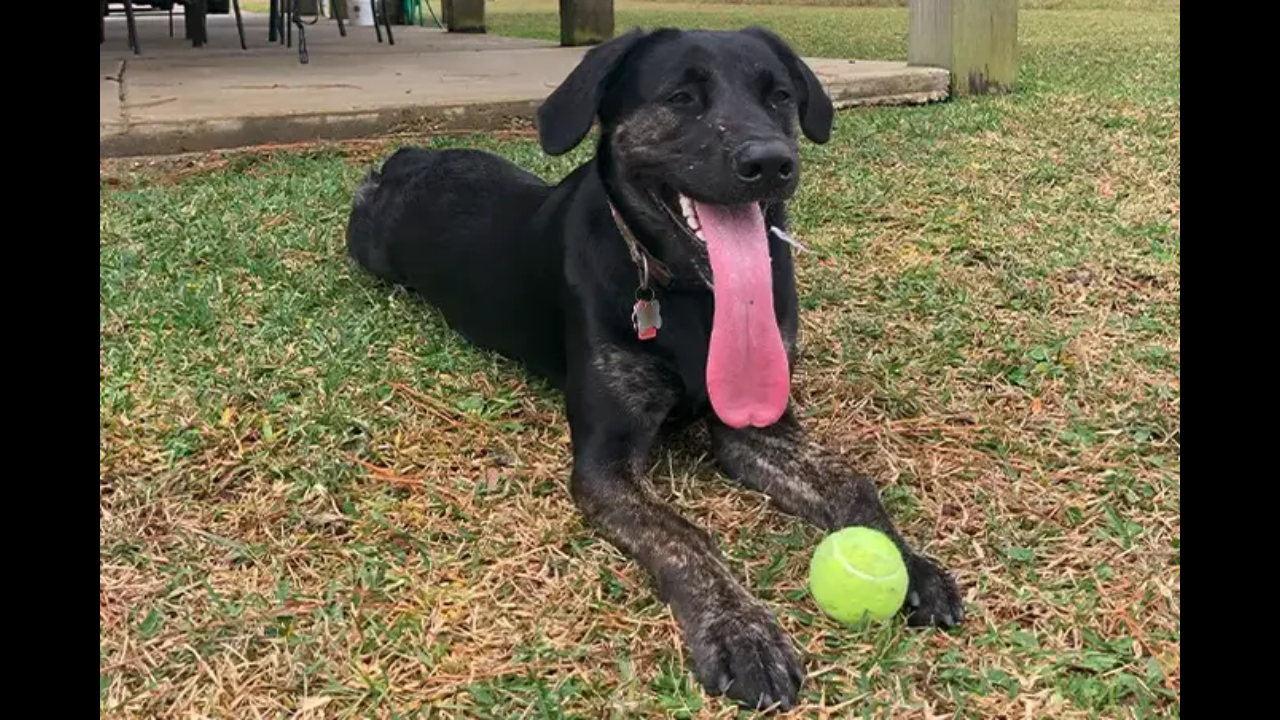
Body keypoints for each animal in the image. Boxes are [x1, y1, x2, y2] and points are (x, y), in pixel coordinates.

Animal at [345, 26, 962, 707]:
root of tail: (410, 157)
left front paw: (911, 564)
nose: (771, 162)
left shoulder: (757, 425)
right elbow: (683, 535)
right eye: (681, 97)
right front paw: (740, 630)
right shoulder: (606, 464)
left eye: (779, 96)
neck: (694, 298)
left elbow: (854, 483)